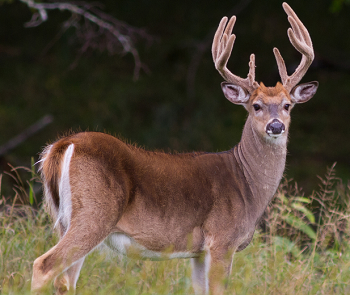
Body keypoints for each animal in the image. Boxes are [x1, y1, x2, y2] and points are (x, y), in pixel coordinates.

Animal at [32, 2, 318, 295]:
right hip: (94, 213)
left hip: (65, 220)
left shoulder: (199, 252)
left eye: (287, 105)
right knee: (43, 265)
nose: (276, 126)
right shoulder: (222, 240)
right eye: (256, 106)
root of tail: (64, 144)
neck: (247, 184)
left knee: (64, 281)